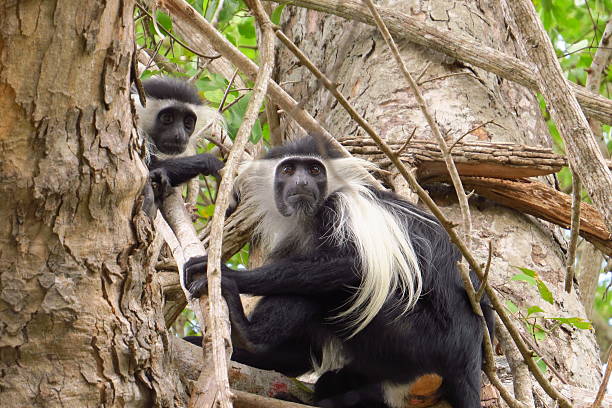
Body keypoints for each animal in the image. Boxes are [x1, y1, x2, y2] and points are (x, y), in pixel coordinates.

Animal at [184, 135, 494, 406]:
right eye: (287, 169)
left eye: (314, 169)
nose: (302, 182)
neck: (311, 216)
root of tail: (470, 351)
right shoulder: (292, 240)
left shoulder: (344, 207)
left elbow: (356, 266)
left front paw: (228, 275)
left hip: (417, 337)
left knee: (327, 292)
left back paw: (247, 336)